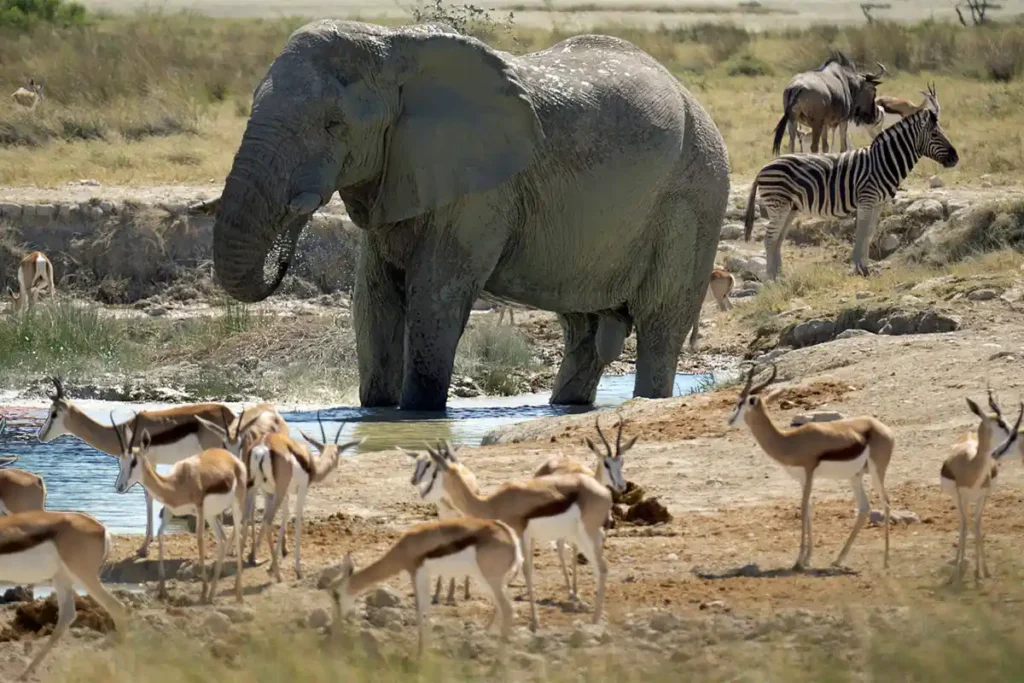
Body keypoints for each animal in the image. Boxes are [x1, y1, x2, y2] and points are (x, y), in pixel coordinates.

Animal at [204, 20, 730, 411]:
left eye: (334, 125)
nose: (284, 249)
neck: (392, 47)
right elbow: (372, 300)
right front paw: (376, 411)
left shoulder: (482, 189)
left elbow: (434, 295)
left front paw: (416, 415)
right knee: (583, 329)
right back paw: (565, 406)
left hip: (695, 194)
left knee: (660, 323)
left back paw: (648, 399)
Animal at [745, 83, 958, 281]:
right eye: (935, 134)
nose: (955, 158)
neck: (883, 161)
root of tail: (763, 168)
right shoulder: (867, 200)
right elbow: (861, 233)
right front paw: (859, 267)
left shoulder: (879, 203)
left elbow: (869, 234)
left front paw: (865, 266)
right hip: (779, 205)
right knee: (770, 238)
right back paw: (771, 279)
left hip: (790, 208)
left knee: (778, 238)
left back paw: (780, 276)